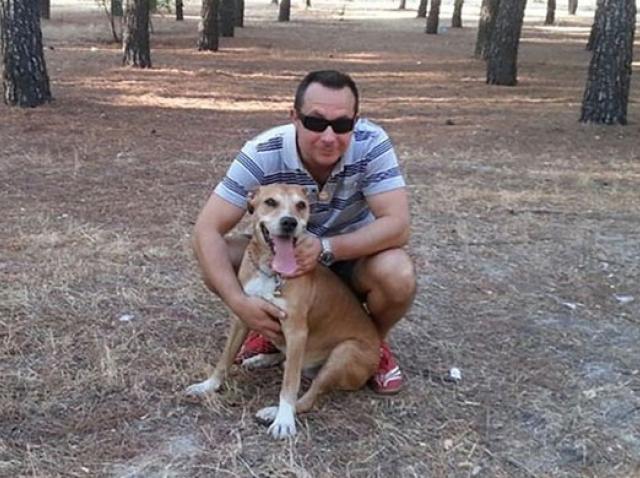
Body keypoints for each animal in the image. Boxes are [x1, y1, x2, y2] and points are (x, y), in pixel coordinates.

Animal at [185, 184, 380, 439]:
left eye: (301, 205)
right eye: (270, 202)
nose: (289, 222)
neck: (270, 270)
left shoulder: (296, 331)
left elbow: (289, 385)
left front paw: (284, 420)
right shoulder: (243, 315)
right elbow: (225, 358)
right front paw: (208, 385)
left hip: (345, 352)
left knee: (307, 395)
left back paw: (273, 411)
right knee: (287, 360)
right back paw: (262, 359)